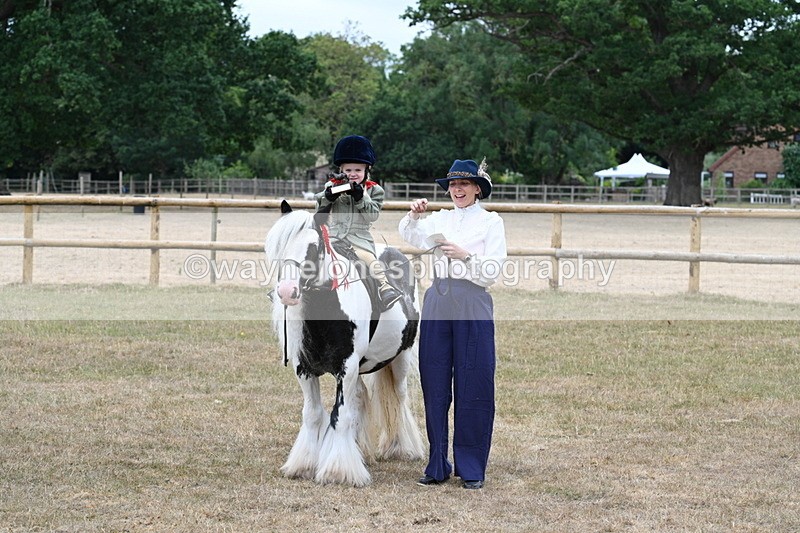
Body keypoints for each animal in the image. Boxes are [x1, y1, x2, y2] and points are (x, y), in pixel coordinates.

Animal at [264, 200, 425, 486]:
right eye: (282, 246)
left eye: (313, 247)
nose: (286, 291)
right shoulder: (304, 369)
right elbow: (313, 414)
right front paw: (304, 465)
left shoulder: (346, 368)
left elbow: (339, 416)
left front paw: (338, 471)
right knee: (360, 398)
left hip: (400, 360)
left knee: (399, 397)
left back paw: (400, 447)